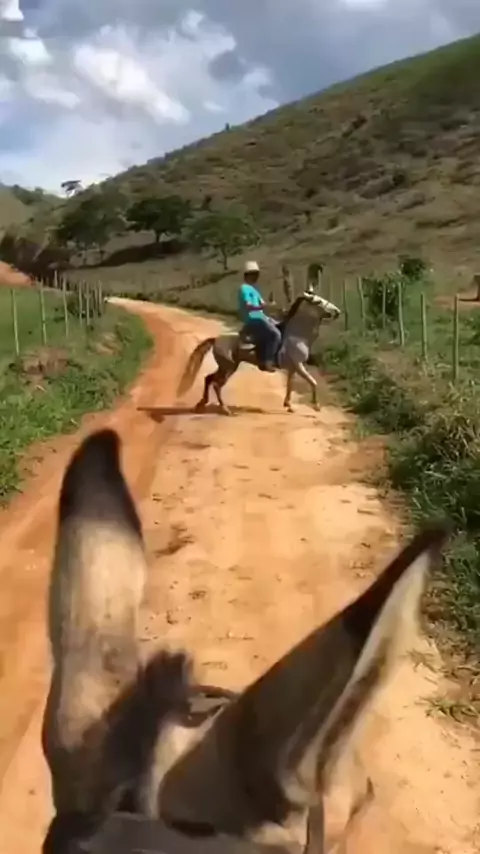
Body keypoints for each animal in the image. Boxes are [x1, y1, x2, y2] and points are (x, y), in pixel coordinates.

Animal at [177, 292, 342, 415]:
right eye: (319, 301)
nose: (337, 311)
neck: (297, 336)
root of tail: (216, 339)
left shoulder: (292, 368)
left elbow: (290, 386)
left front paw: (288, 405)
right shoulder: (299, 365)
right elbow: (312, 382)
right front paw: (316, 406)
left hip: (226, 367)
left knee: (208, 379)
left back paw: (201, 405)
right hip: (228, 368)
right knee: (217, 385)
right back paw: (225, 410)